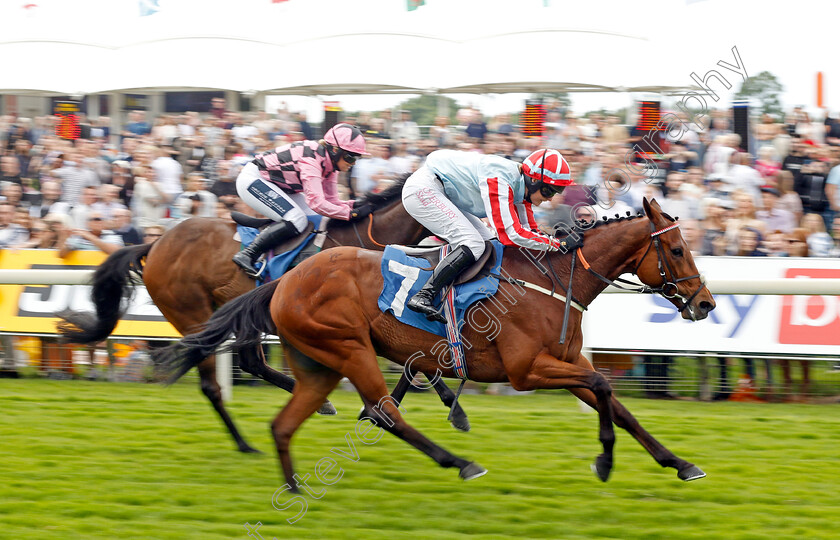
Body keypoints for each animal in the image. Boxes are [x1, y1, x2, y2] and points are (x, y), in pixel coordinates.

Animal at [55, 179, 470, 454]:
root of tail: (155, 243)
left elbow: (421, 363)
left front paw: (446, 408)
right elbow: (417, 363)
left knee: (251, 361)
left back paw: (316, 404)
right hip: (192, 313)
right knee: (214, 383)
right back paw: (245, 442)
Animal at [158, 198, 716, 486]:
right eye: (676, 249)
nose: (706, 303)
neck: (555, 281)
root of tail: (284, 281)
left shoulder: (562, 363)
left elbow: (615, 402)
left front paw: (679, 463)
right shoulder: (526, 370)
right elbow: (602, 385)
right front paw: (604, 460)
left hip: (320, 364)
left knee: (285, 421)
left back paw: (292, 482)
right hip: (348, 348)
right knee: (382, 412)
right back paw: (459, 462)